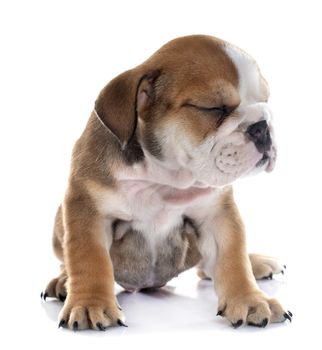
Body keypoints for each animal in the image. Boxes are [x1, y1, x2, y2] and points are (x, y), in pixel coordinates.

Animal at [42, 35, 292, 330]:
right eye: (213, 108)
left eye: (265, 101)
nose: (262, 126)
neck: (165, 177)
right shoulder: (86, 210)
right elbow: (89, 258)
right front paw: (90, 304)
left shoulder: (217, 214)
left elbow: (233, 258)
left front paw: (250, 299)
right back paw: (63, 282)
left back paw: (257, 263)